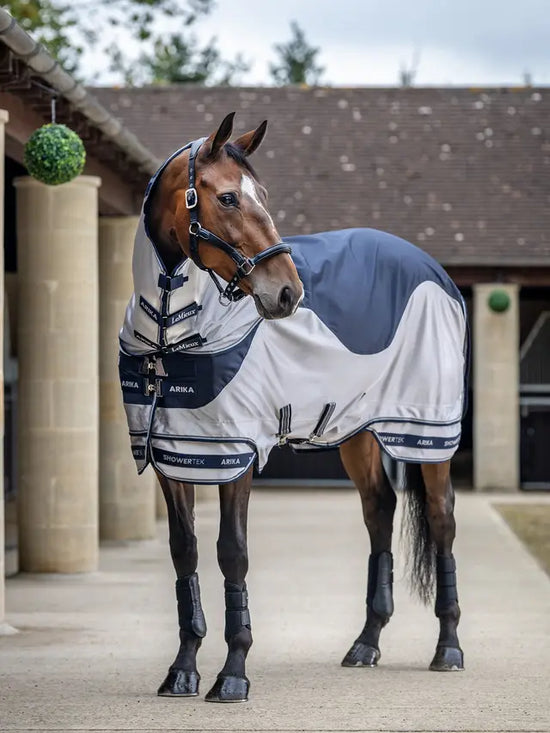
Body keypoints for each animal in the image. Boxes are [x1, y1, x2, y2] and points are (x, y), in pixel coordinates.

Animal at [118, 112, 467, 703]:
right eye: (228, 197)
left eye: (264, 196)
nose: (287, 293)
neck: (170, 329)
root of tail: (438, 275)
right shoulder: (173, 455)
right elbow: (184, 552)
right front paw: (183, 671)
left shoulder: (235, 454)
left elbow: (232, 553)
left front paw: (233, 674)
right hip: (357, 434)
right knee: (379, 513)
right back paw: (366, 644)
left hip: (425, 434)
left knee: (441, 521)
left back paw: (448, 649)